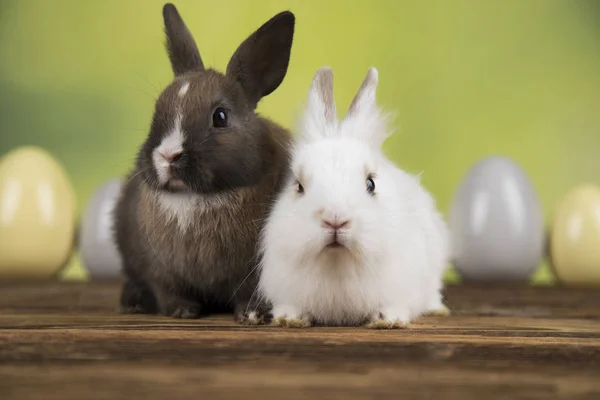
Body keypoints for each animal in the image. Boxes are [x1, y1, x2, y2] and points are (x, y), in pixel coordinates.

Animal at [112, 3, 296, 324]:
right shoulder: (160, 269)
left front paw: (253, 315)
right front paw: (181, 311)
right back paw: (132, 302)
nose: (168, 155)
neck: (195, 199)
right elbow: (167, 288)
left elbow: (252, 290)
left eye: (220, 116)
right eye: (157, 110)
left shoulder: (256, 271)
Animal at [258, 65, 450, 328]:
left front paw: (388, 320)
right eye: (299, 187)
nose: (335, 219)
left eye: (371, 183)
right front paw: (289, 318)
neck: (338, 266)